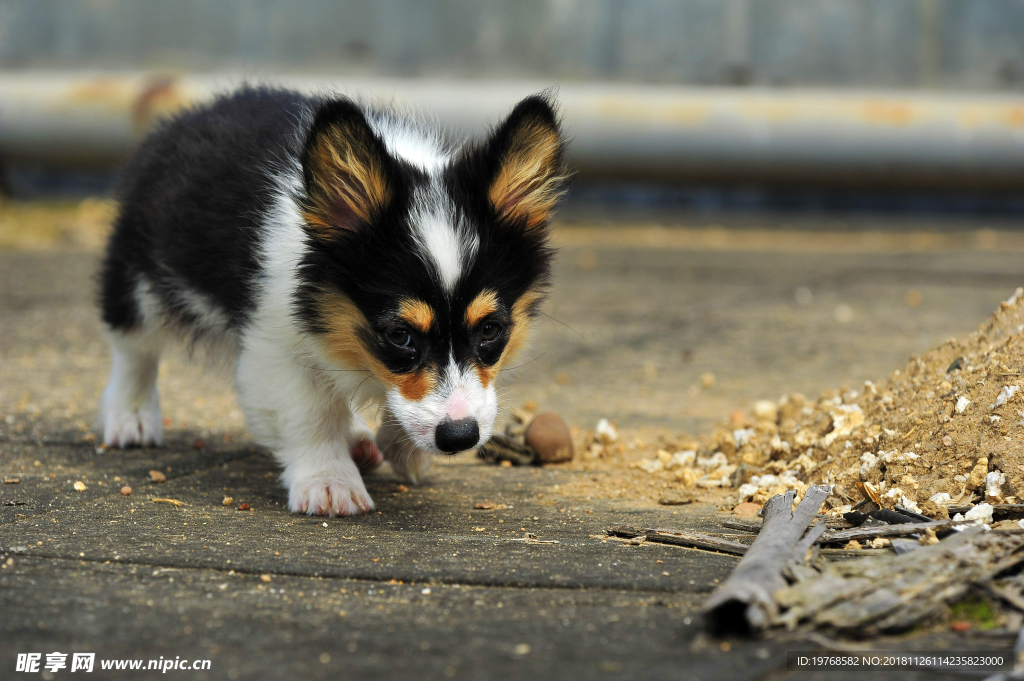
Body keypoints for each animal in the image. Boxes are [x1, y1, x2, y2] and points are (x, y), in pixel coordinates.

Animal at [98, 89, 565, 516]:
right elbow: (309, 414)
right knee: (133, 346)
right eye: (400, 335)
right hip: (138, 273)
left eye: (490, 329)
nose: (459, 438)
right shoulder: (275, 346)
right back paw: (130, 416)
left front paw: (403, 447)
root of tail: (194, 112)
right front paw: (329, 482)